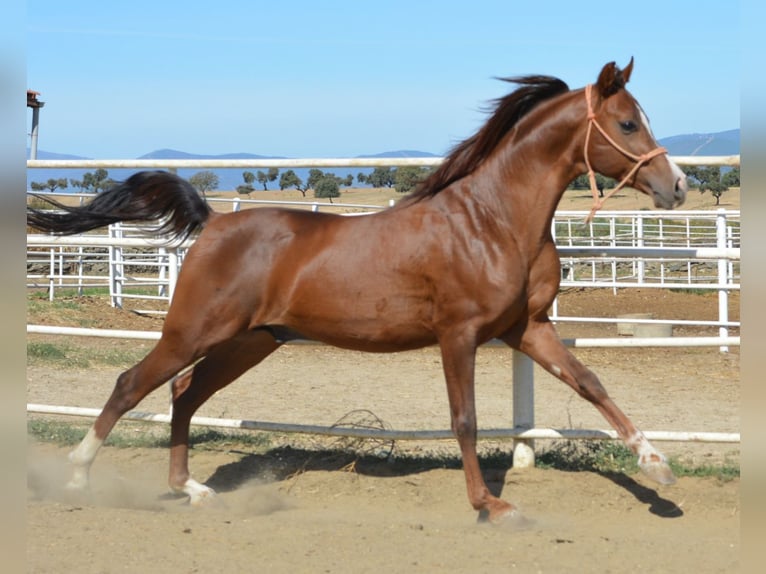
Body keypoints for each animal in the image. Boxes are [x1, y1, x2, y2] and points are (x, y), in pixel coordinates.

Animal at [27, 59, 687, 524]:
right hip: (194, 330)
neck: (492, 220)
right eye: (628, 123)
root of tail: (214, 221)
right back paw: (79, 479)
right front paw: (491, 506)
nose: (677, 186)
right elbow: (466, 420)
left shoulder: (527, 329)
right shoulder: (459, 334)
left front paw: (657, 469)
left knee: (184, 394)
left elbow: (592, 383)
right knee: (132, 384)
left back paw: (192, 490)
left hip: (250, 341)